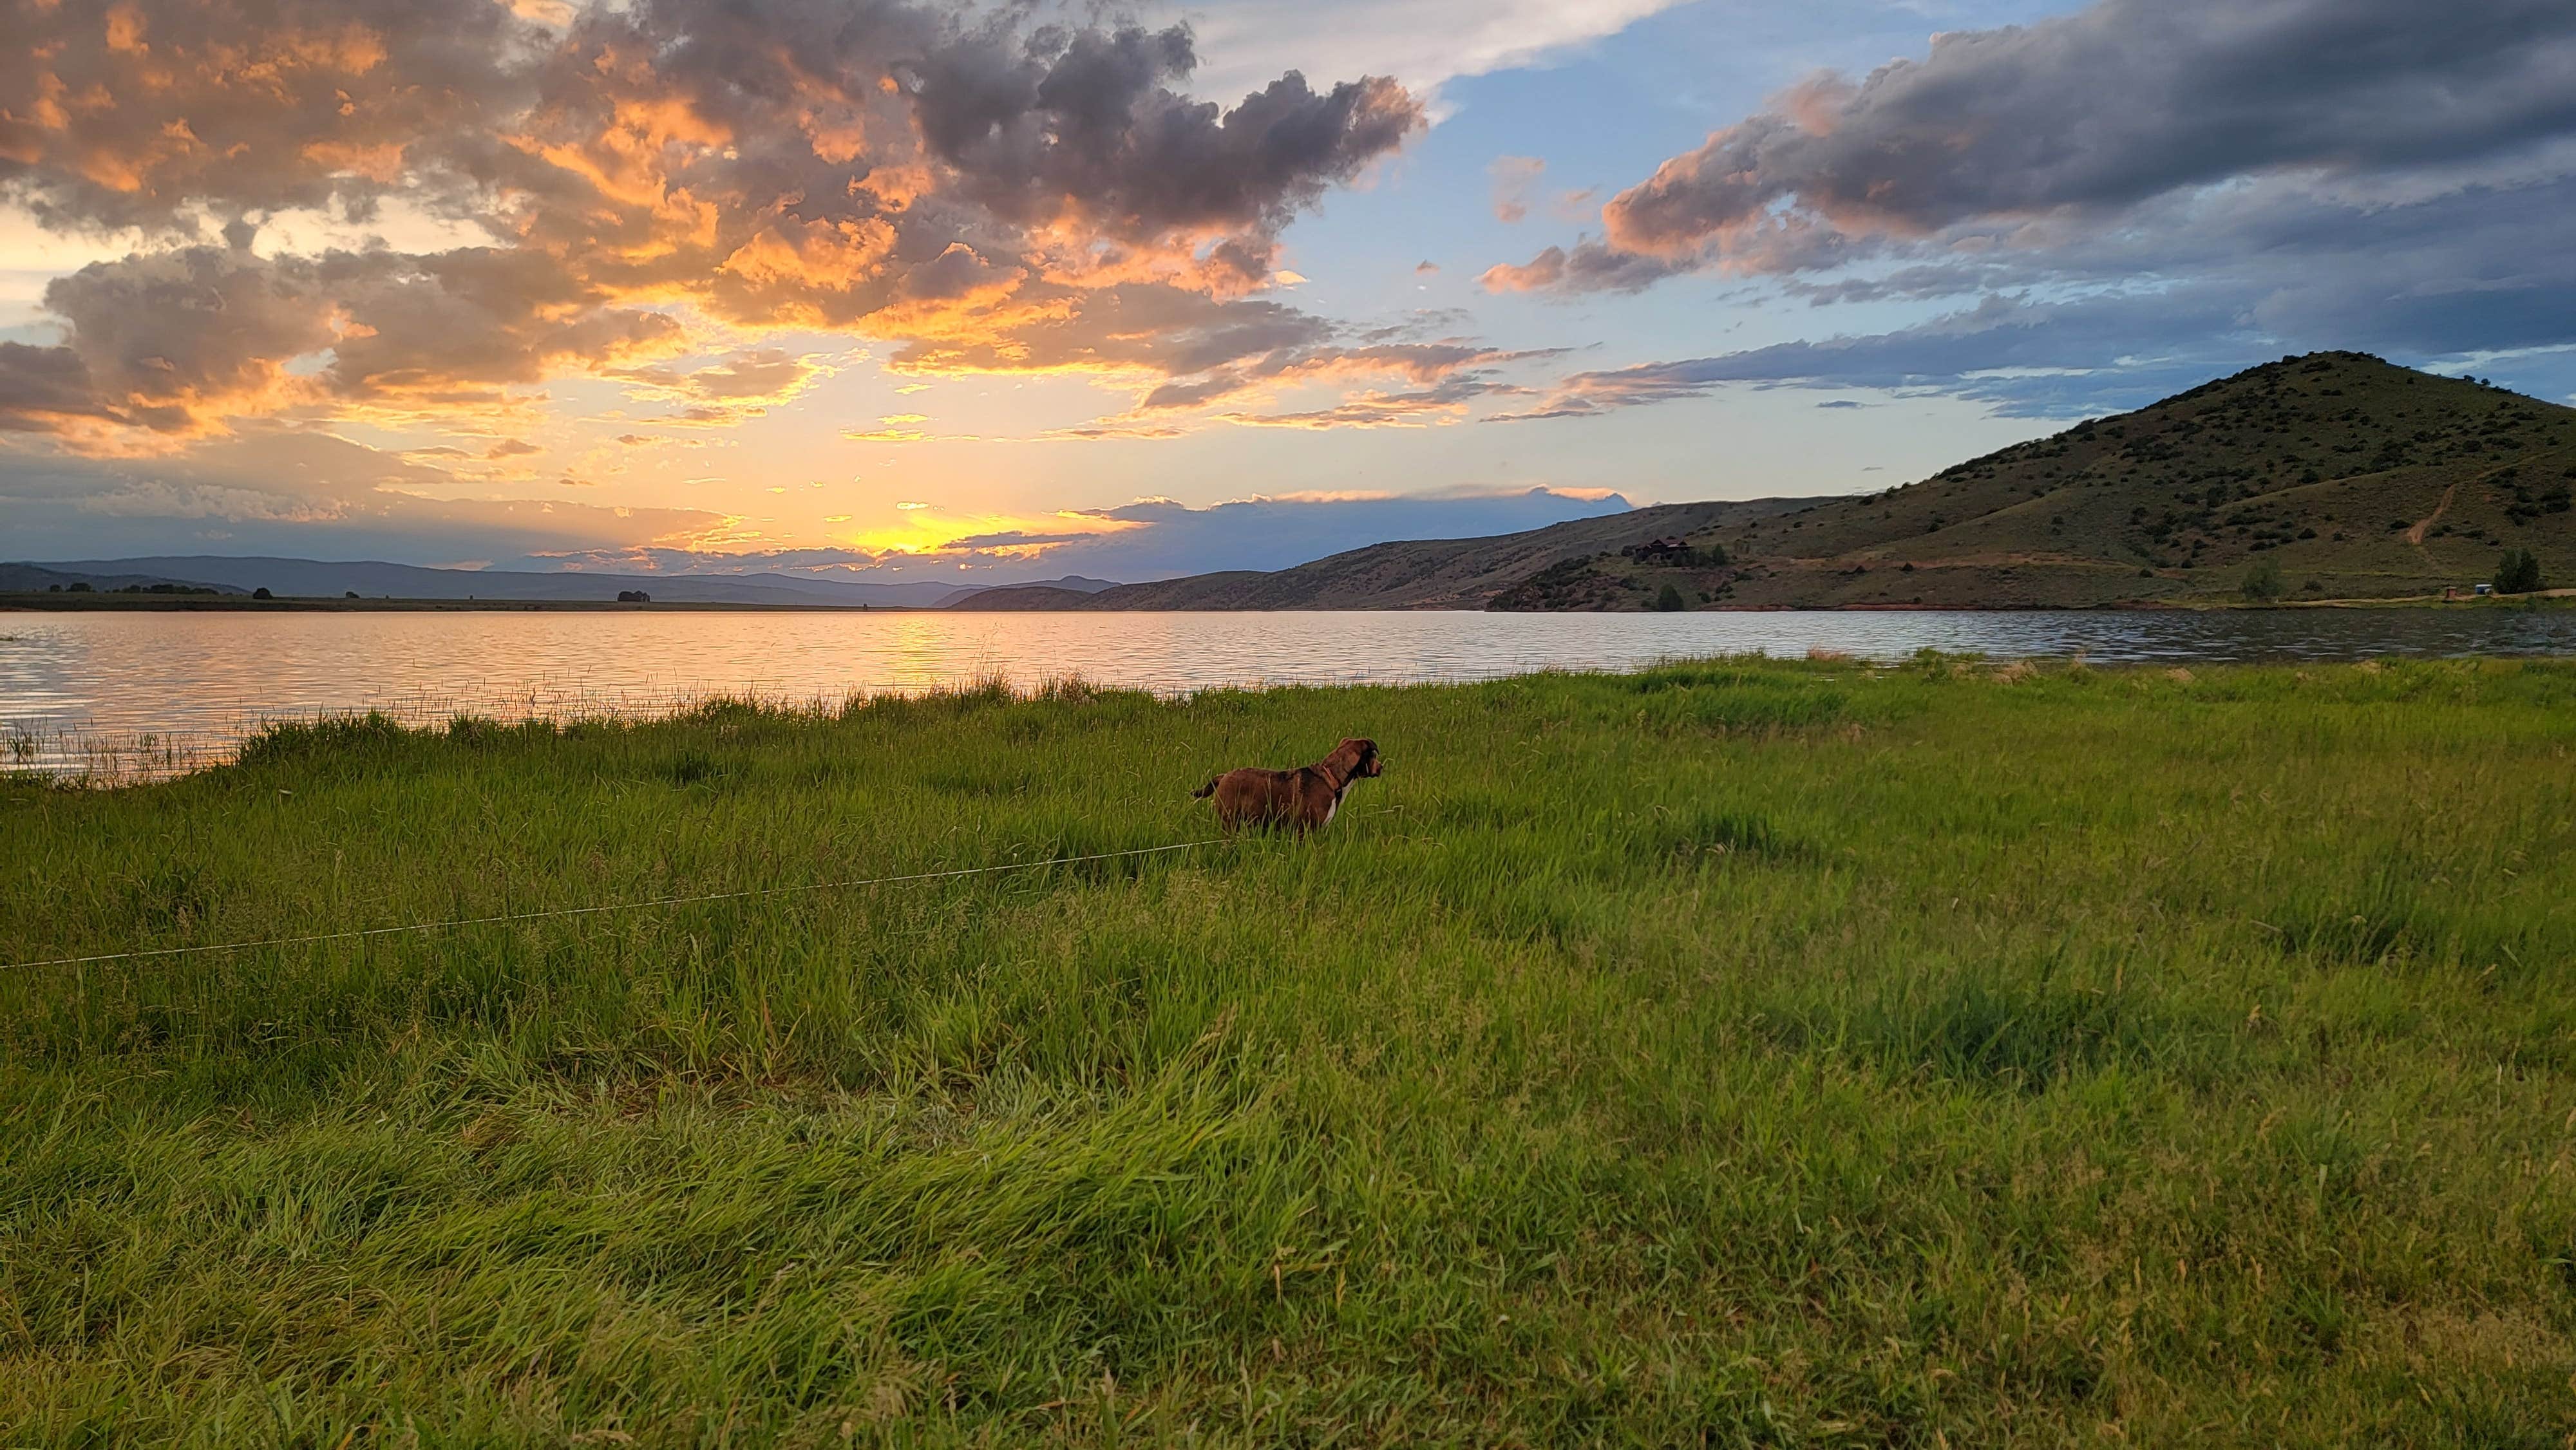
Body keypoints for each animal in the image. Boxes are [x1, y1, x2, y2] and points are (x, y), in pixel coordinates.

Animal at [1190, 742, 1381, 834]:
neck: (1332, 777)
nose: (1382, 767)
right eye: (1374, 756)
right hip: (1230, 821)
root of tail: (1223, 777)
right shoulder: (1305, 830)